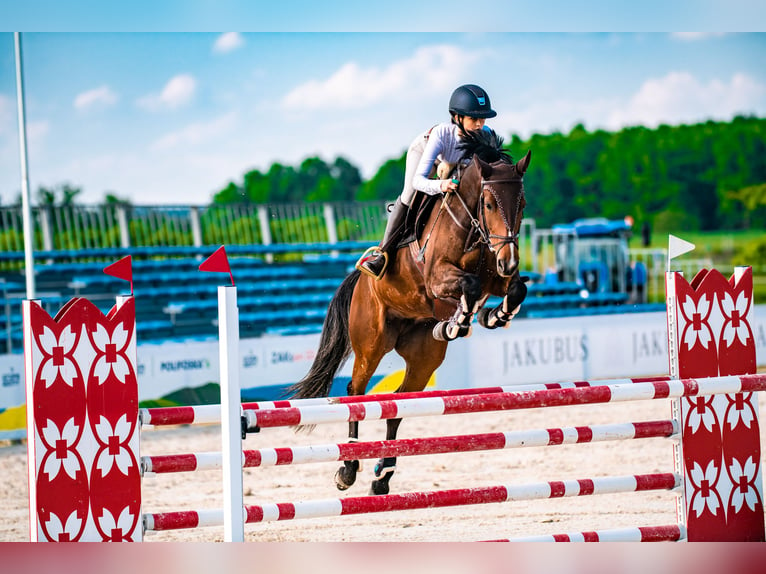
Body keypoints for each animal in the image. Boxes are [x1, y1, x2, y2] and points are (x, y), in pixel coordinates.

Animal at [290, 129, 536, 496]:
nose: (509, 260)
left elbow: (514, 289)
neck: (471, 227)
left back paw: (382, 475)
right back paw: (348, 469)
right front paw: (461, 321)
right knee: (355, 392)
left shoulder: (496, 277)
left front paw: (489, 317)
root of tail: (360, 282)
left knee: (398, 404)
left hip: (423, 357)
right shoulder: (437, 279)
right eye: (490, 204)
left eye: (522, 204)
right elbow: (470, 285)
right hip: (371, 343)